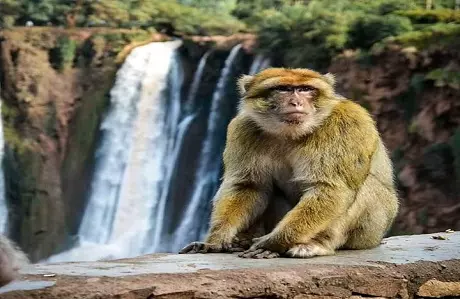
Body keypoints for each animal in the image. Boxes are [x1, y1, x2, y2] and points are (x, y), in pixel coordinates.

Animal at [180, 67, 398, 258]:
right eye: (283, 89)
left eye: (306, 89)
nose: (296, 102)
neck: (291, 133)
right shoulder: (243, 127)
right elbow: (248, 186)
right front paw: (217, 238)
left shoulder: (346, 124)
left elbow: (331, 188)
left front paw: (273, 242)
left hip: (370, 232)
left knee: (364, 187)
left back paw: (317, 244)